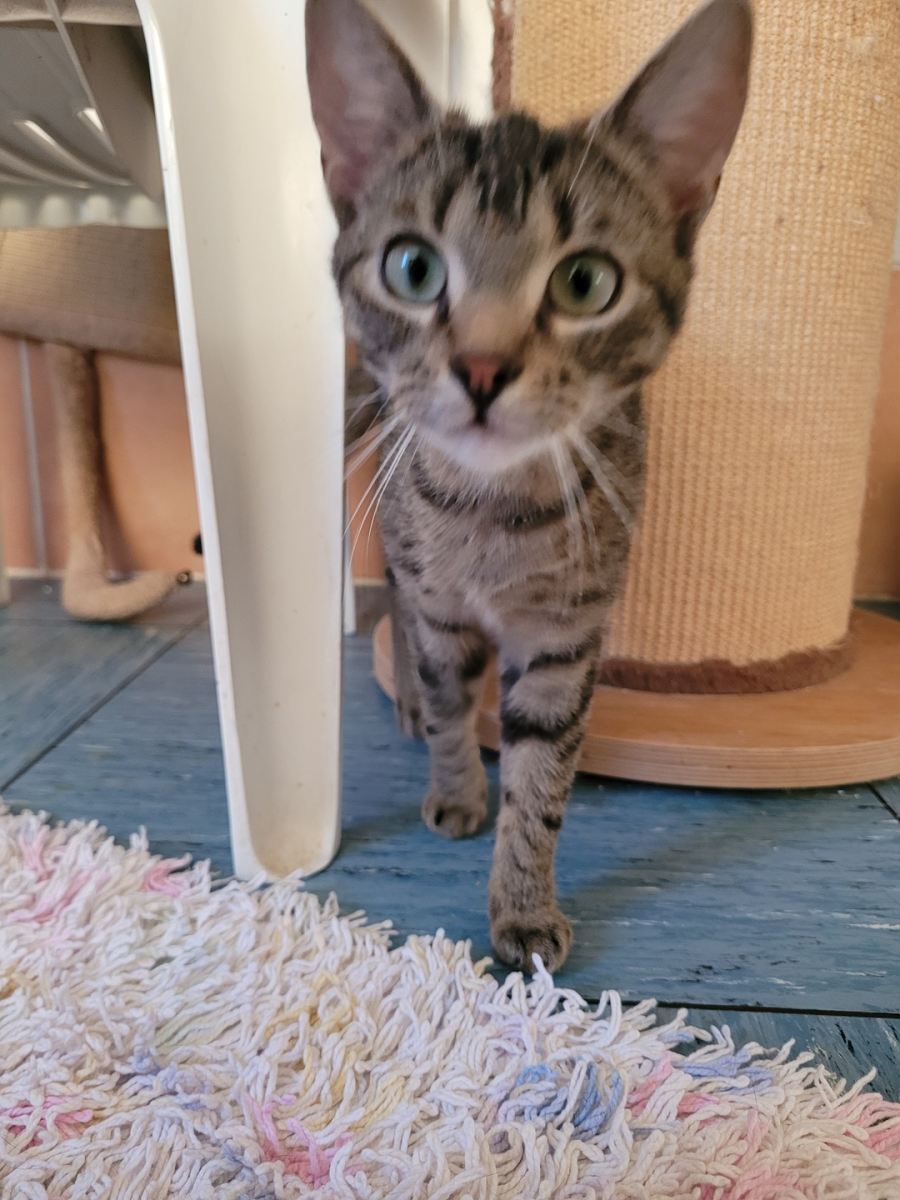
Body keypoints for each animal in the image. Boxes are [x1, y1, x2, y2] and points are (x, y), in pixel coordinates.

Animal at [307, 0, 752, 972]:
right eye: (412, 268)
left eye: (586, 282)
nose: (482, 367)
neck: (494, 510)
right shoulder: (438, 605)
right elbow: (446, 695)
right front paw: (456, 788)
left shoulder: (566, 636)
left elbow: (542, 776)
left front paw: (521, 902)